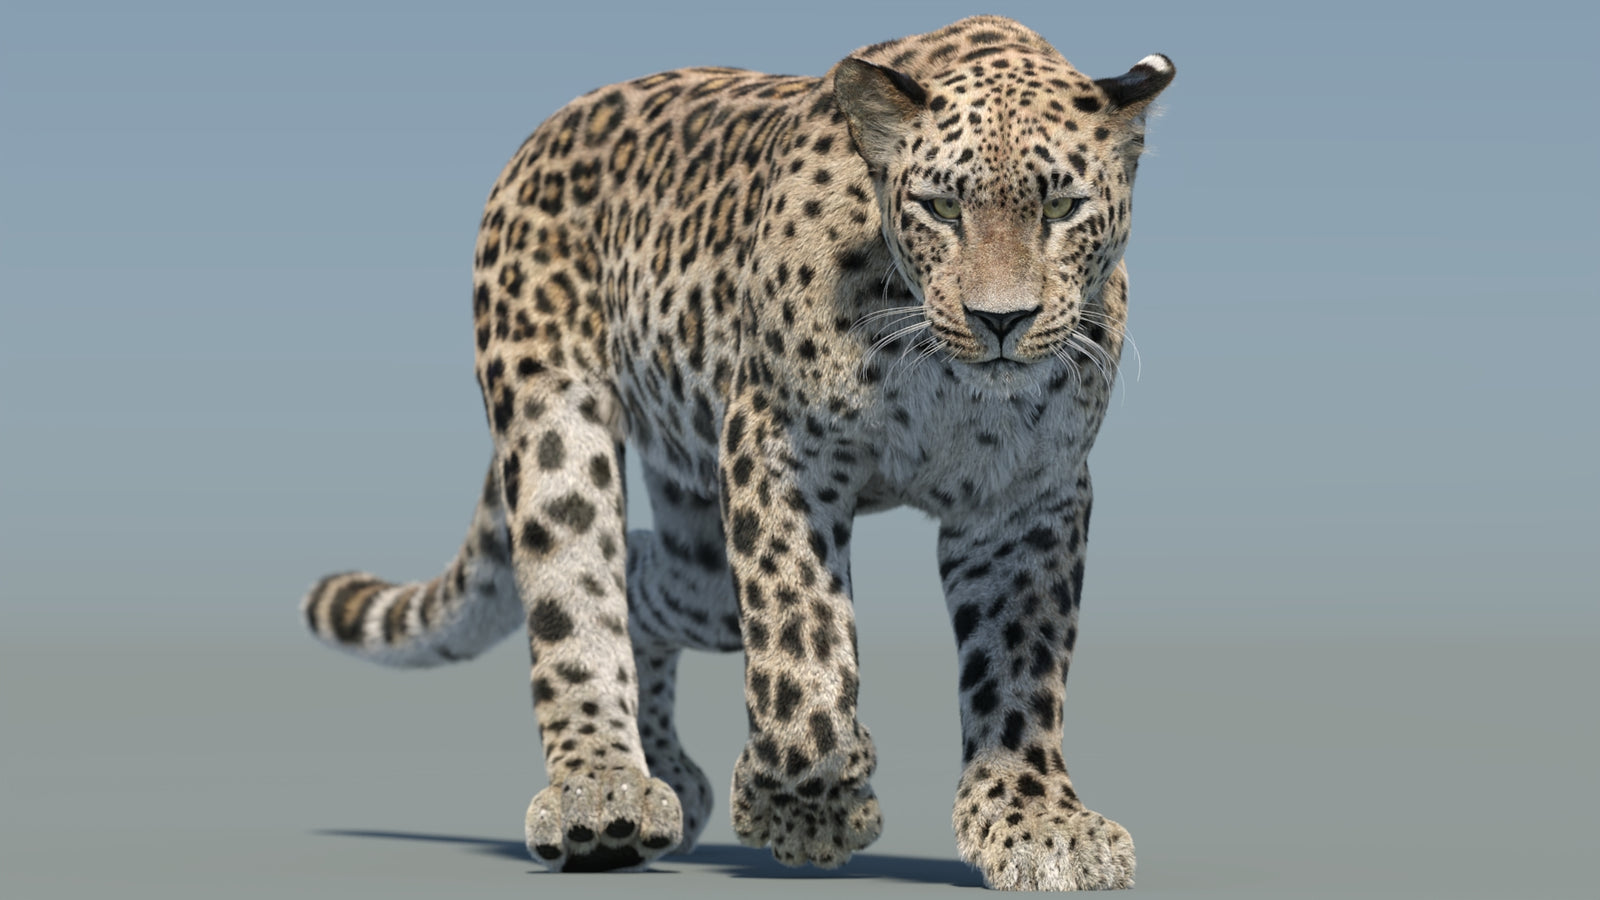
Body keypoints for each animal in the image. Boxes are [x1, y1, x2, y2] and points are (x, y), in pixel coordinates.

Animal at [299, 15, 1172, 891]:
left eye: (1061, 206)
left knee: (643, 575)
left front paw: (1035, 819)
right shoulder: (779, 443)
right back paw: (603, 792)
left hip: (698, 538)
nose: (1001, 321)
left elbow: (1019, 668)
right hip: (553, 415)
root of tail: (547, 130)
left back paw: (665, 773)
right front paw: (809, 809)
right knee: (577, 593)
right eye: (940, 207)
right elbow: (800, 635)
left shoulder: (1025, 496)